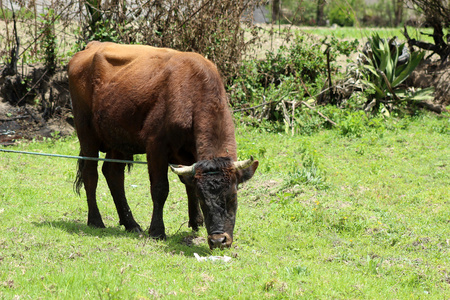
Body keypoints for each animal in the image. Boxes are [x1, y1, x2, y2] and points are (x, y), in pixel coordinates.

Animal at [66, 41, 256, 248]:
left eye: (233, 197)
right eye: (203, 199)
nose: (219, 240)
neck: (192, 92)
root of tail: (93, 45)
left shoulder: (188, 156)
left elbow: (188, 183)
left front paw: (195, 222)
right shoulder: (156, 147)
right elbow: (160, 188)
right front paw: (157, 231)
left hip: (118, 137)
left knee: (113, 174)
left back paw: (131, 223)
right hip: (87, 134)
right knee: (90, 175)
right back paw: (95, 220)